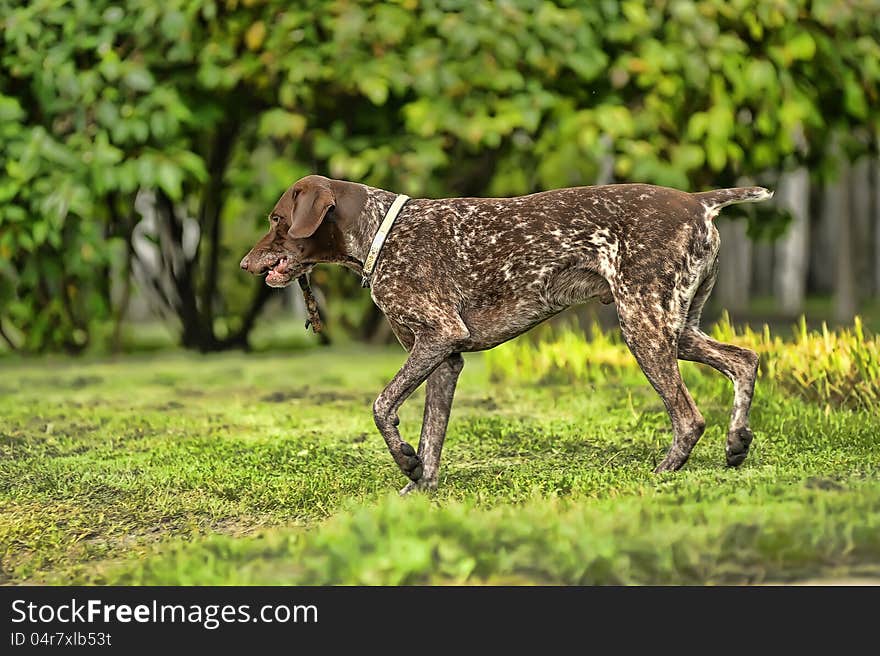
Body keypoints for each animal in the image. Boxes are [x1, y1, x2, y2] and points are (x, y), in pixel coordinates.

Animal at [239, 174, 768, 492]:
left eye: (276, 220)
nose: (245, 263)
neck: (381, 235)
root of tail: (699, 202)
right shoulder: (445, 358)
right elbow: (432, 435)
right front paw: (420, 486)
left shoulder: (439, 336)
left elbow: (382, 406)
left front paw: (406, 462)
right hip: (677, 327)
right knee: (745, 359)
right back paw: (737, 441)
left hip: (643, 327)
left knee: (689, 416)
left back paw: (664, 472)